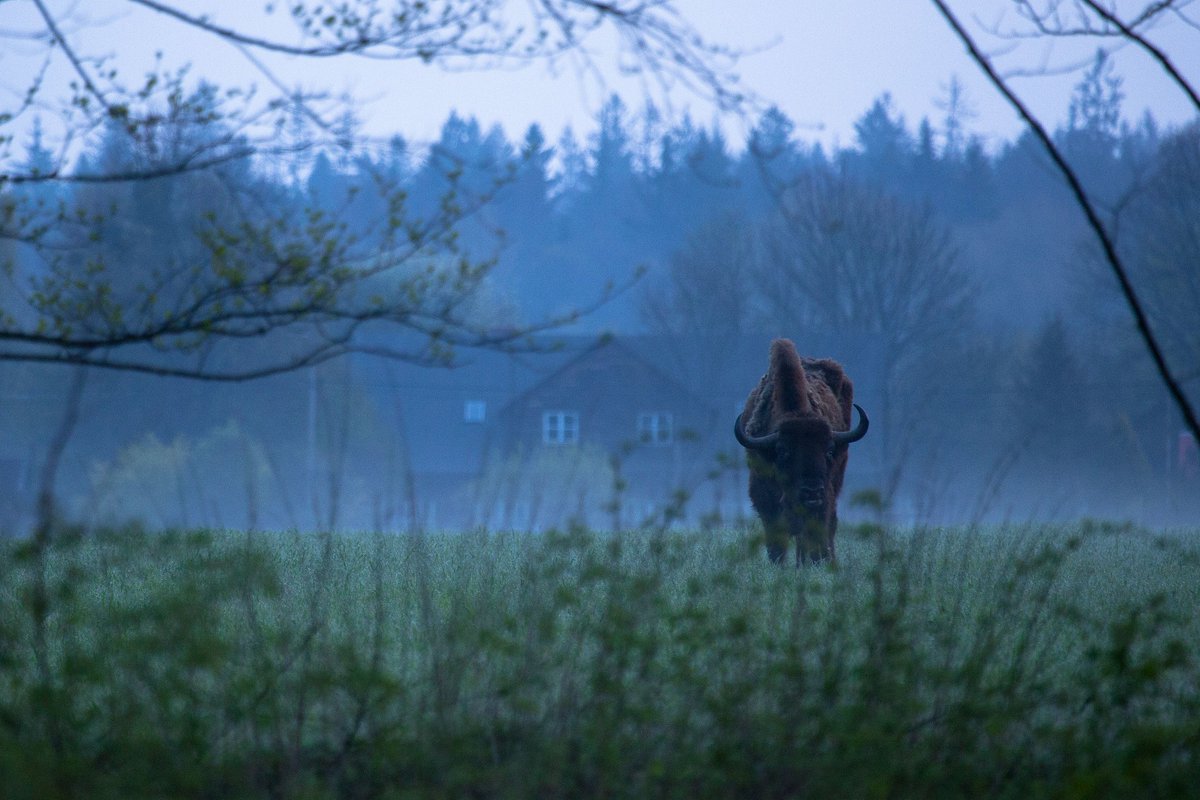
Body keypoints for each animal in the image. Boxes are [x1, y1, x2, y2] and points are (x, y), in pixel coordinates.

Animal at [729, 340, 873, 566]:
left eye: (829, 450)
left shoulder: (823, 501)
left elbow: (816, 536)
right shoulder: (765, 501)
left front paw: (818, 563)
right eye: (782, 451)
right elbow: (777, 544)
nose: (811, 492)